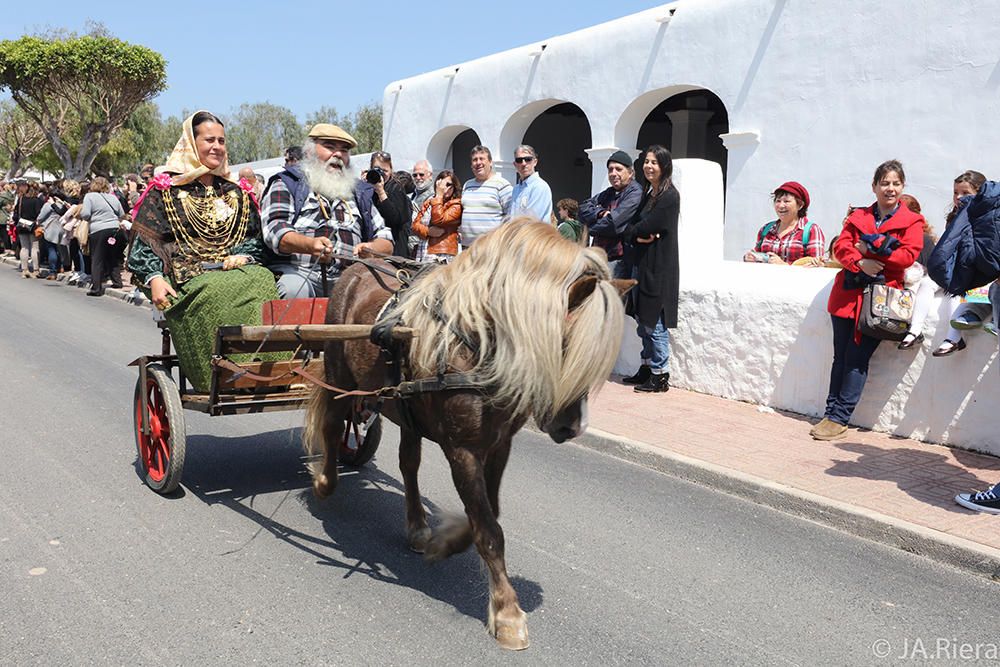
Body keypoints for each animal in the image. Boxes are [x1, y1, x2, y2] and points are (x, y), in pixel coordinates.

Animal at [302, 222, 632, 648]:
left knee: (408, 463)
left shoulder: (499, 444)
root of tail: (355, 267)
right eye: (565, 346)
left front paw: (450, 541)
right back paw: (325, 481)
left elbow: (488, 513)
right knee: (331, 425)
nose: (572, 427)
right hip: (340, 375)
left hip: (406, 409)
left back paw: (417, 526)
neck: (480, 347)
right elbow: (489, 530)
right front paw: (507, 611)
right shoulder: (462, 450)